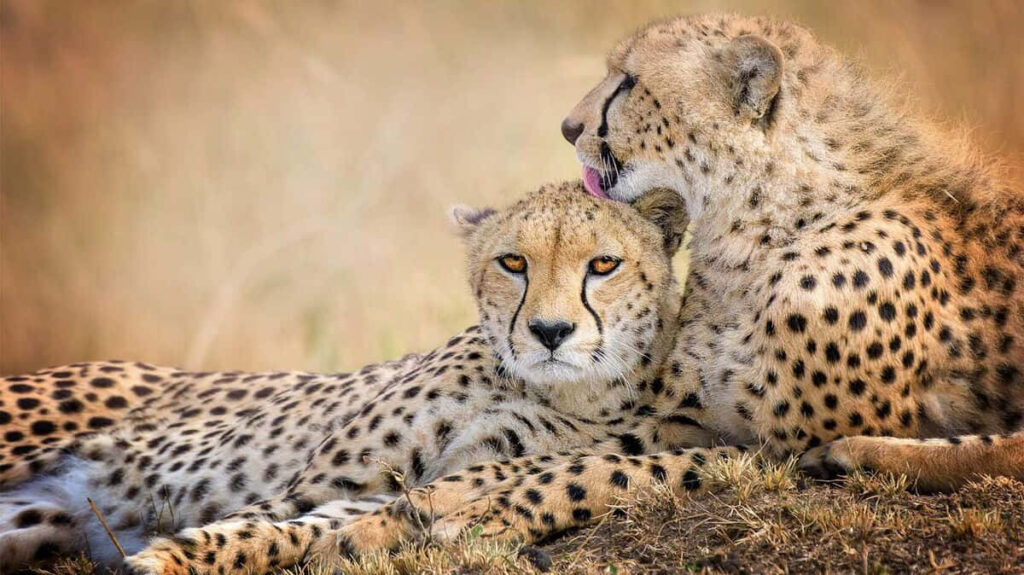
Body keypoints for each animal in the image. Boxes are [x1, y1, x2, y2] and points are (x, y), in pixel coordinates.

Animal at [0, 182, 690, 573]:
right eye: (513, 262)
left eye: (604, 265)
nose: (550, 331)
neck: (537, 384)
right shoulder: (318, 482)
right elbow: (268, 514)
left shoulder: (389, 492)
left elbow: (308, 531)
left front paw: (185, 556)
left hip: (37, 520)